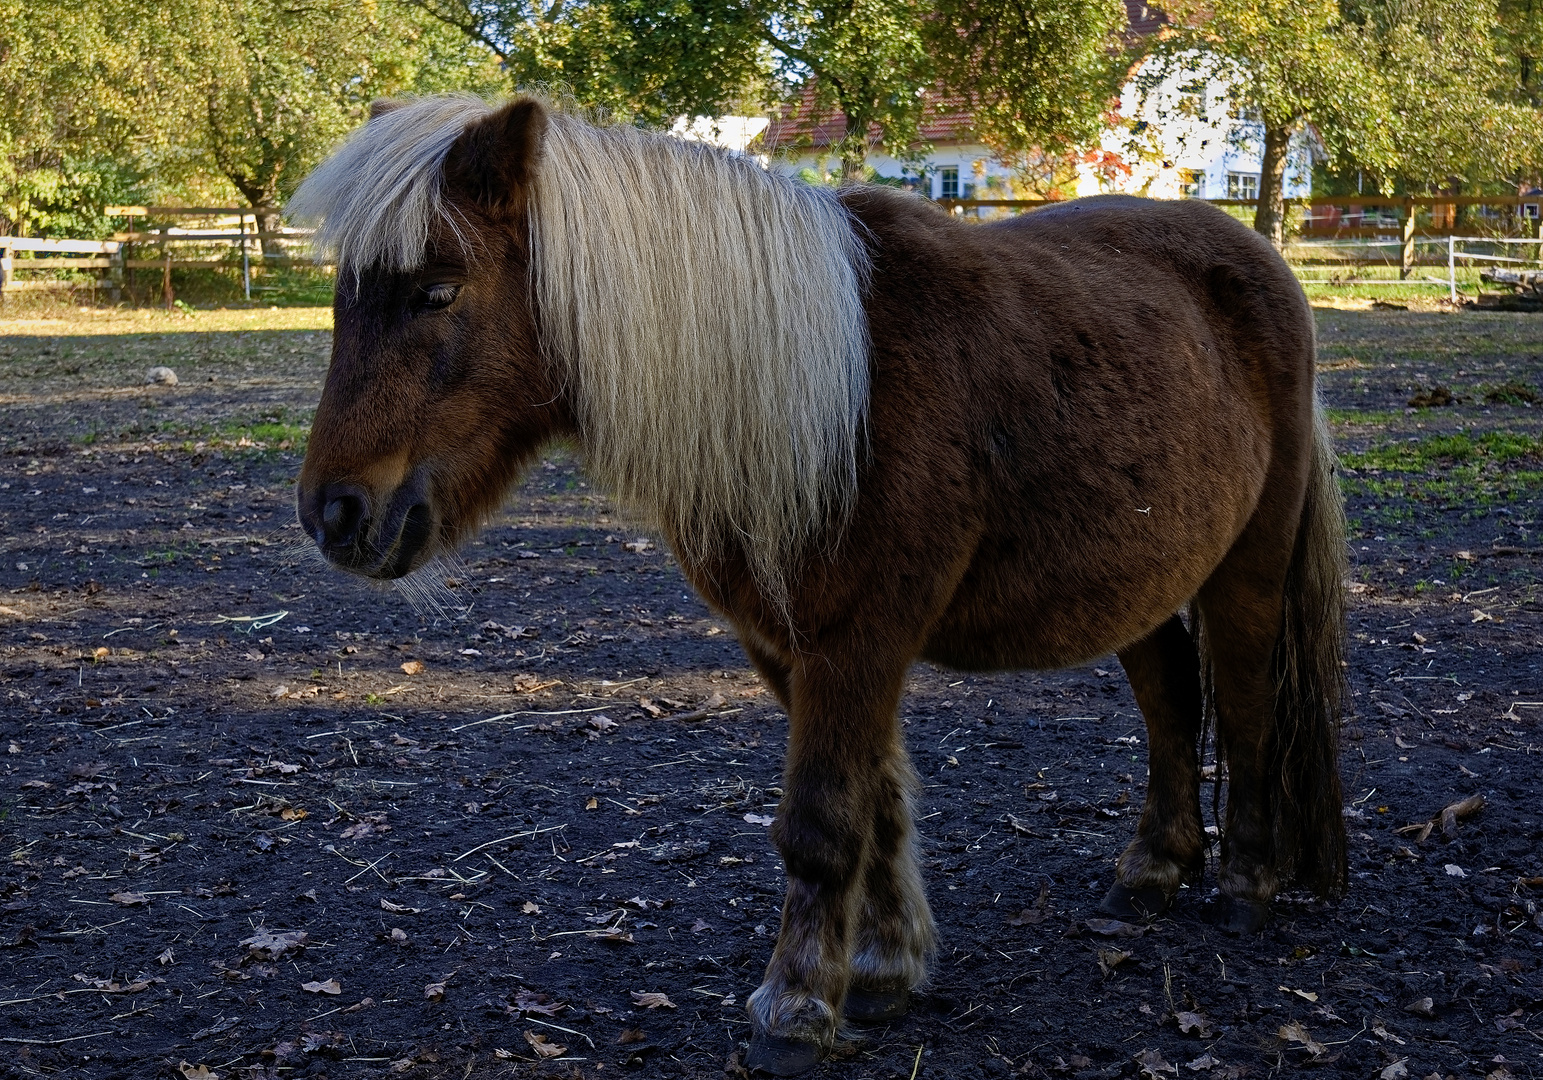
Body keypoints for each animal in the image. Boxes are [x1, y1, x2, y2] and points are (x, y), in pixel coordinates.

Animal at [288, 94, 1349, 1075]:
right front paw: (882, 972)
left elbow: (821, 822)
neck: (841, 393)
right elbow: (877, 807)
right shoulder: (784, 647)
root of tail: (1253, 259)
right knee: (1171, 698)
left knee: (1247, 707)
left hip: (1246, 567)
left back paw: (1247, 883)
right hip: (1134, 581)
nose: (333, 514)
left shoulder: (859, 640)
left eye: (436, 291)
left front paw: (797, 1005)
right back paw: (1153, 867)